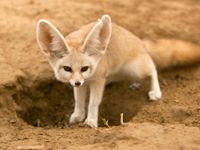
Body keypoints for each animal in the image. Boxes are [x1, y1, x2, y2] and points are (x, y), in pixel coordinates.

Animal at [36, 14, 200, 127]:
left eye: (84, 68)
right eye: (67, 68)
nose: (77, 82)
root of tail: (139, 40)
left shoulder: (97, 80)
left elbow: (93, 102)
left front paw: (91, 121)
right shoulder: (83, 84)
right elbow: (79, 101)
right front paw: (78, 115)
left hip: (135, 69)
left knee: (153, 68)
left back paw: (155, 91)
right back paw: (135, 84)